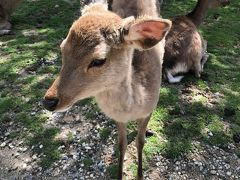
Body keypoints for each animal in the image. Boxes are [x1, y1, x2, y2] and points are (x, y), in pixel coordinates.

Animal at [42, 1, 171, 180]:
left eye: (98, 60)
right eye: (62, 49)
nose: (49, 101)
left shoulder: (150, 109)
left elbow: (140, 142)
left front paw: (140, 174)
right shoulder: (119, 118)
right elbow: (121, 144)